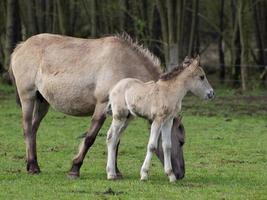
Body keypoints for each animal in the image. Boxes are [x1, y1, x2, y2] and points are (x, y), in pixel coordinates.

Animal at [9, 33, 186, 179]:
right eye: (181, 141)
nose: (180, 174)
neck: (125, 65)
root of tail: (21, 46)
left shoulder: (121, 113)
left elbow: (116, 140)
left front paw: (115, 171)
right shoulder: (102, 106)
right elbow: (90, 138)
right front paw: (75, 168)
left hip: (42, 102)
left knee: (33, 129)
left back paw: (31, 164)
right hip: (28, 98)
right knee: (27, 128)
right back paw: (33, 167)